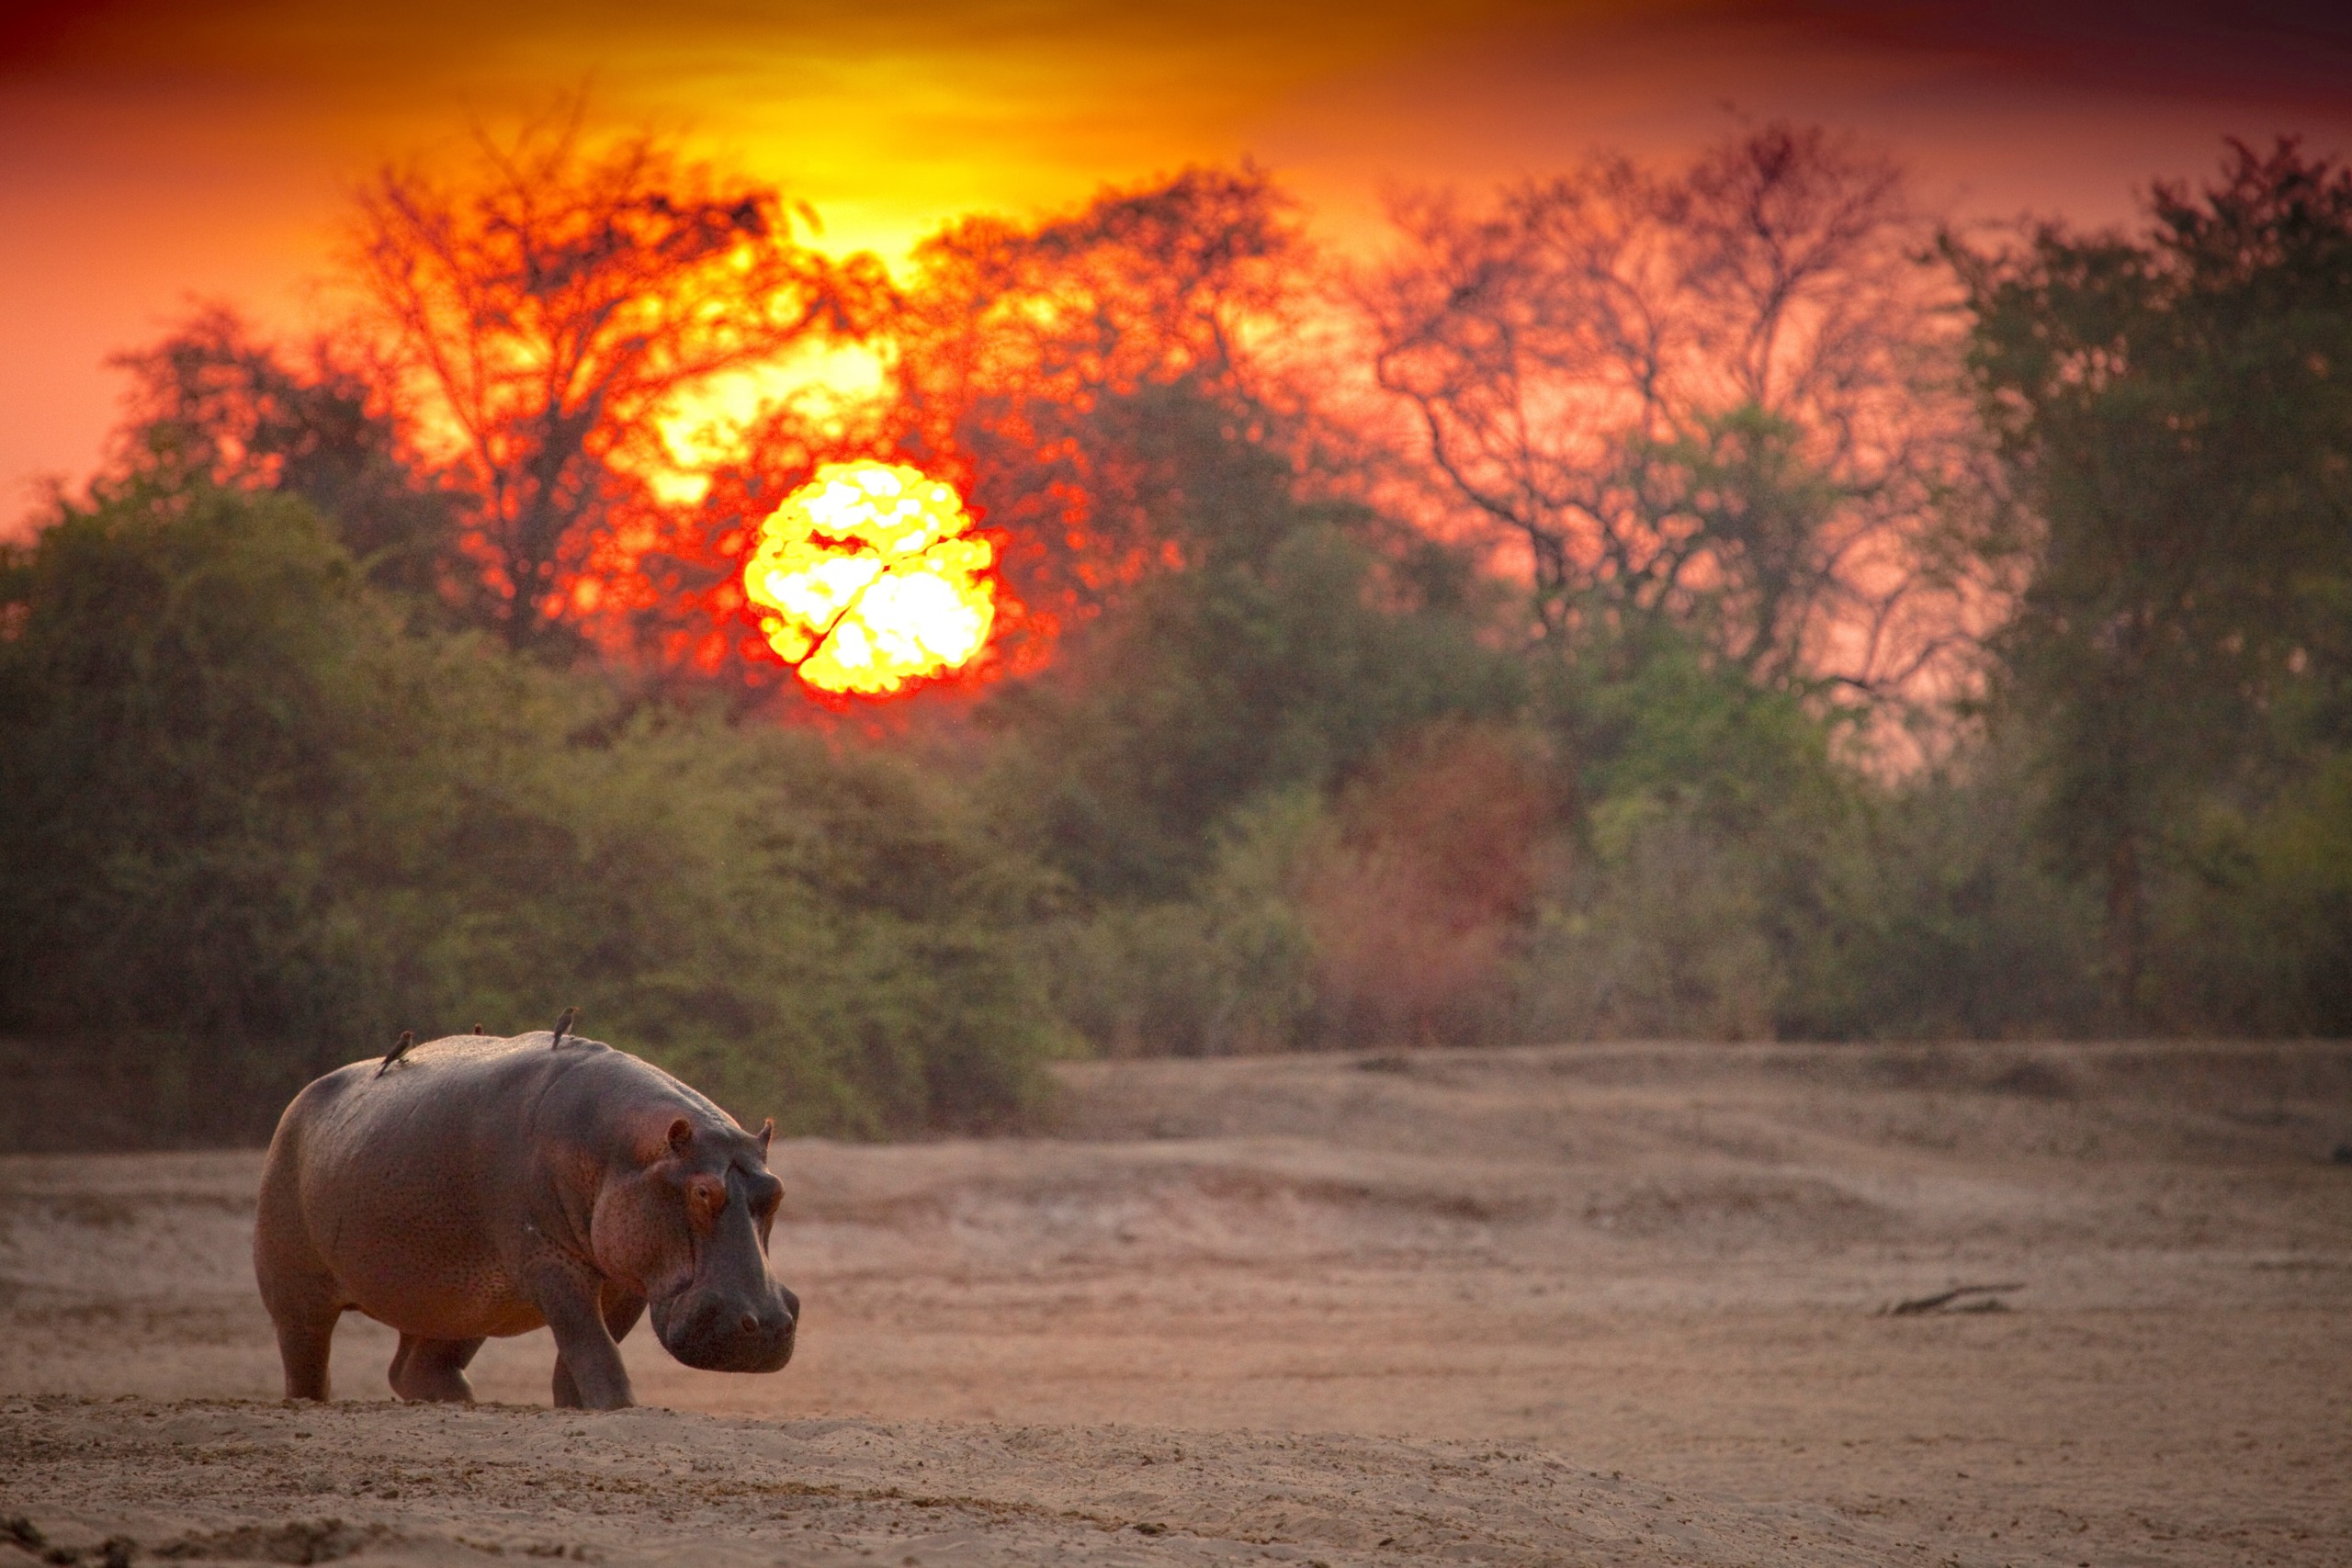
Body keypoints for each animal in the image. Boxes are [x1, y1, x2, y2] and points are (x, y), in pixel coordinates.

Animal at [254, 1029, 795, 1410]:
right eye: (702, 1191)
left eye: (777, 1191)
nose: (768, 1324)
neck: (625, 1150)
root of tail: (301, 1099)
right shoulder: (548, 1262)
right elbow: (591, 1344)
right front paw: (618, 1405)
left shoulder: (628, 1280)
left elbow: (584, 1355)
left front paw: (581, 1408)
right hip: (295, 1289)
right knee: (307, 1360)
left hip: (461, 1302)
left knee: (416, 1367)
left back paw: (462, 1403)